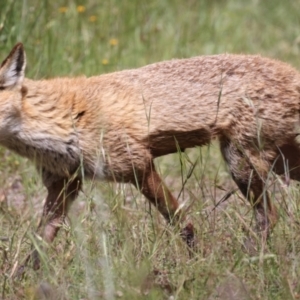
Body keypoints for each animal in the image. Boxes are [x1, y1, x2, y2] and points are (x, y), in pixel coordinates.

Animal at [0, 43, 300, 270]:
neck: (62, 119)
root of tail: (291, 71)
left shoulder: (139, 166)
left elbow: (182, 224)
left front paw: (201, 263)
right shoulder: (64, 185)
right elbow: (38, 245)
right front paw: (20, 283)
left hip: (242, 163)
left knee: (268, 216)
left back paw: (248, 259)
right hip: (278, 163)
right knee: (270, 214)